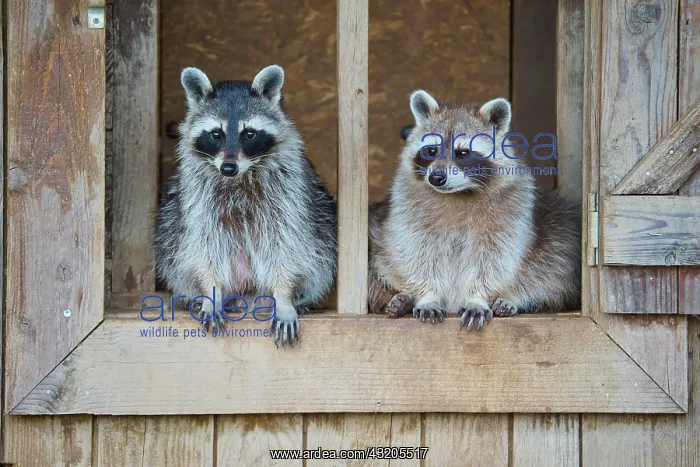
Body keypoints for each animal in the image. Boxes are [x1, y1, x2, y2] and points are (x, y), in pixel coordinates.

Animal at [153, 65, 337, 347]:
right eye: (215, 134)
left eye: (249, 134)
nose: (228, 168)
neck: (239, 177)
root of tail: (246, 298)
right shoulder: (197, 196)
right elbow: (202, 245)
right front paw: (211, 291)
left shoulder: (289, 193)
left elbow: (287, 245)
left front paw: (284, 296)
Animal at [368, 90, 581, 330]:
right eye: (431, 150)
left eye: (462, 153)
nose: (436, 178)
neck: (458, 193)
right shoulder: (407, 207)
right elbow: (417, 253)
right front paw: (429, 295)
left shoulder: (513, 210)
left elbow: (495, 258)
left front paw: (477, 297)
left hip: (559, 239)